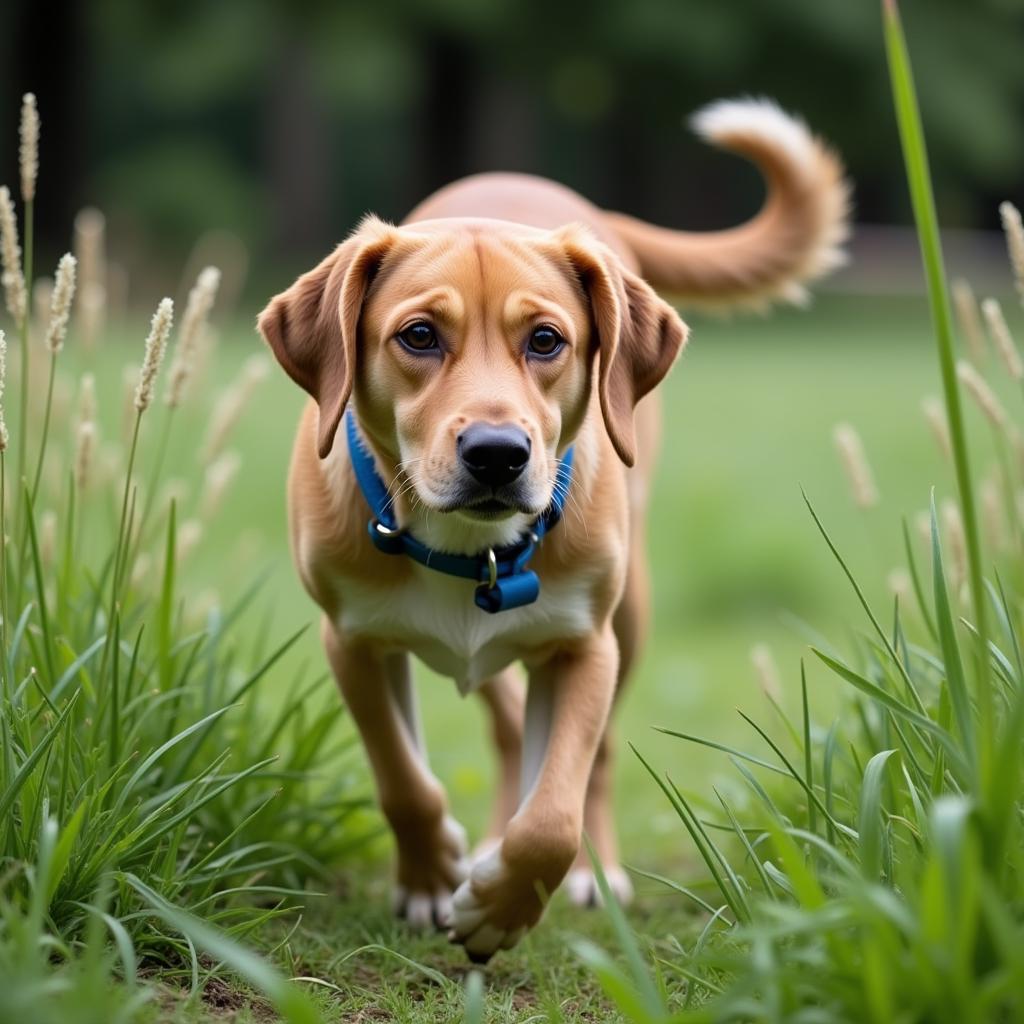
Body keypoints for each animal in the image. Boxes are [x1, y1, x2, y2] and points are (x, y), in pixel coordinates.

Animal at [258, 96, 847, 958]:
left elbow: (554, 812)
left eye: (545, 341)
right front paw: (431, 878)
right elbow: (402, 776)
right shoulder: (355, 640)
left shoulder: (580, 645)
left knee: (592, 762)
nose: (497, 454)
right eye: (418, 335)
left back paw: (586, 872)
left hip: (630, 611)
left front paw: (504, 903)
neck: (469, 552)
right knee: (503, 732)